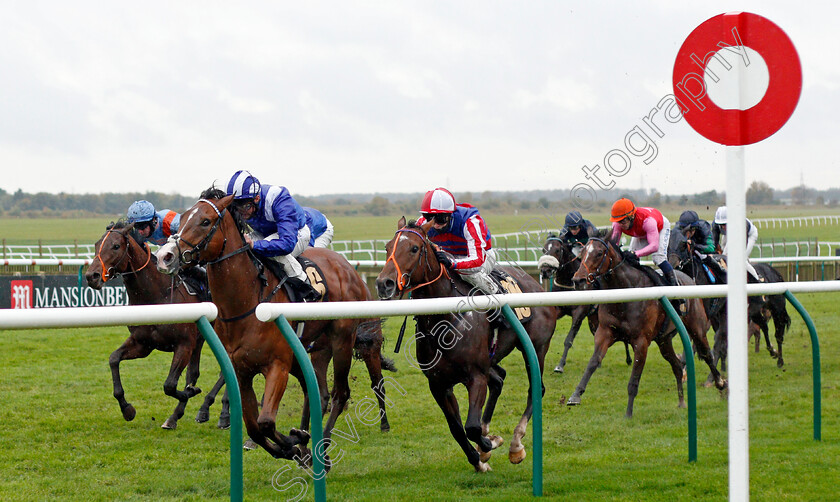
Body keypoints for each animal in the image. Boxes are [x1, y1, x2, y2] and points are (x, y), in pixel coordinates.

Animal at [83, 222, 217, 430]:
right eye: (97, 245)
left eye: (116, 246)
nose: (92, 276)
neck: (157, 295)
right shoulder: (143, 344)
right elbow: (113, 359)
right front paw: (127, 409)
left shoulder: (184, 344)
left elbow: (169, 385)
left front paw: (190, 392)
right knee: (195, 372)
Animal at [156, 191, 392, 462]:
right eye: (182, 218)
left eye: (205, 221)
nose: (165, 256)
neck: (247, 304)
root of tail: (348, 269)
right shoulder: (242, 371)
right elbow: (254, 427)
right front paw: (291, 444)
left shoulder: (278, 365)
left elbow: (266, 422)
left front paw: (294, 441)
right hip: (315, 349)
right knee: (318, 393)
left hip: (342, 340)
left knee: (340, 394)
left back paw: (322, 445)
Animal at [378, 218, 556, 472]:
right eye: (387, 247)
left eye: (414, 248)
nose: (384, 283)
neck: (443, 321)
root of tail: (536, 285)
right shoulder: (438, 384)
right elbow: (457, 428)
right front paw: (479, 459)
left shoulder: (475, 376)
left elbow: (471, 426)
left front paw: (490, 443)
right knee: (499, 380)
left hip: (535, 346)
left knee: (536, 389)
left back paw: (515, 445)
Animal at [568, 237, 724, 418]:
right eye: (583, 251)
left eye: (599, 253)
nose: (578, 280)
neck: (626, 291)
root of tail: (689, 280)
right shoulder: (605, 332)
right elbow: (593, 362)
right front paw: (576, 395)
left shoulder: (641, 342)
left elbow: (634, 379)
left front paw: (628, 413)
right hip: (664, 340)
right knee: (677, 366)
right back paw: (681, 401)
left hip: (697, 328)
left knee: (706, 354)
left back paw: (720, 382)